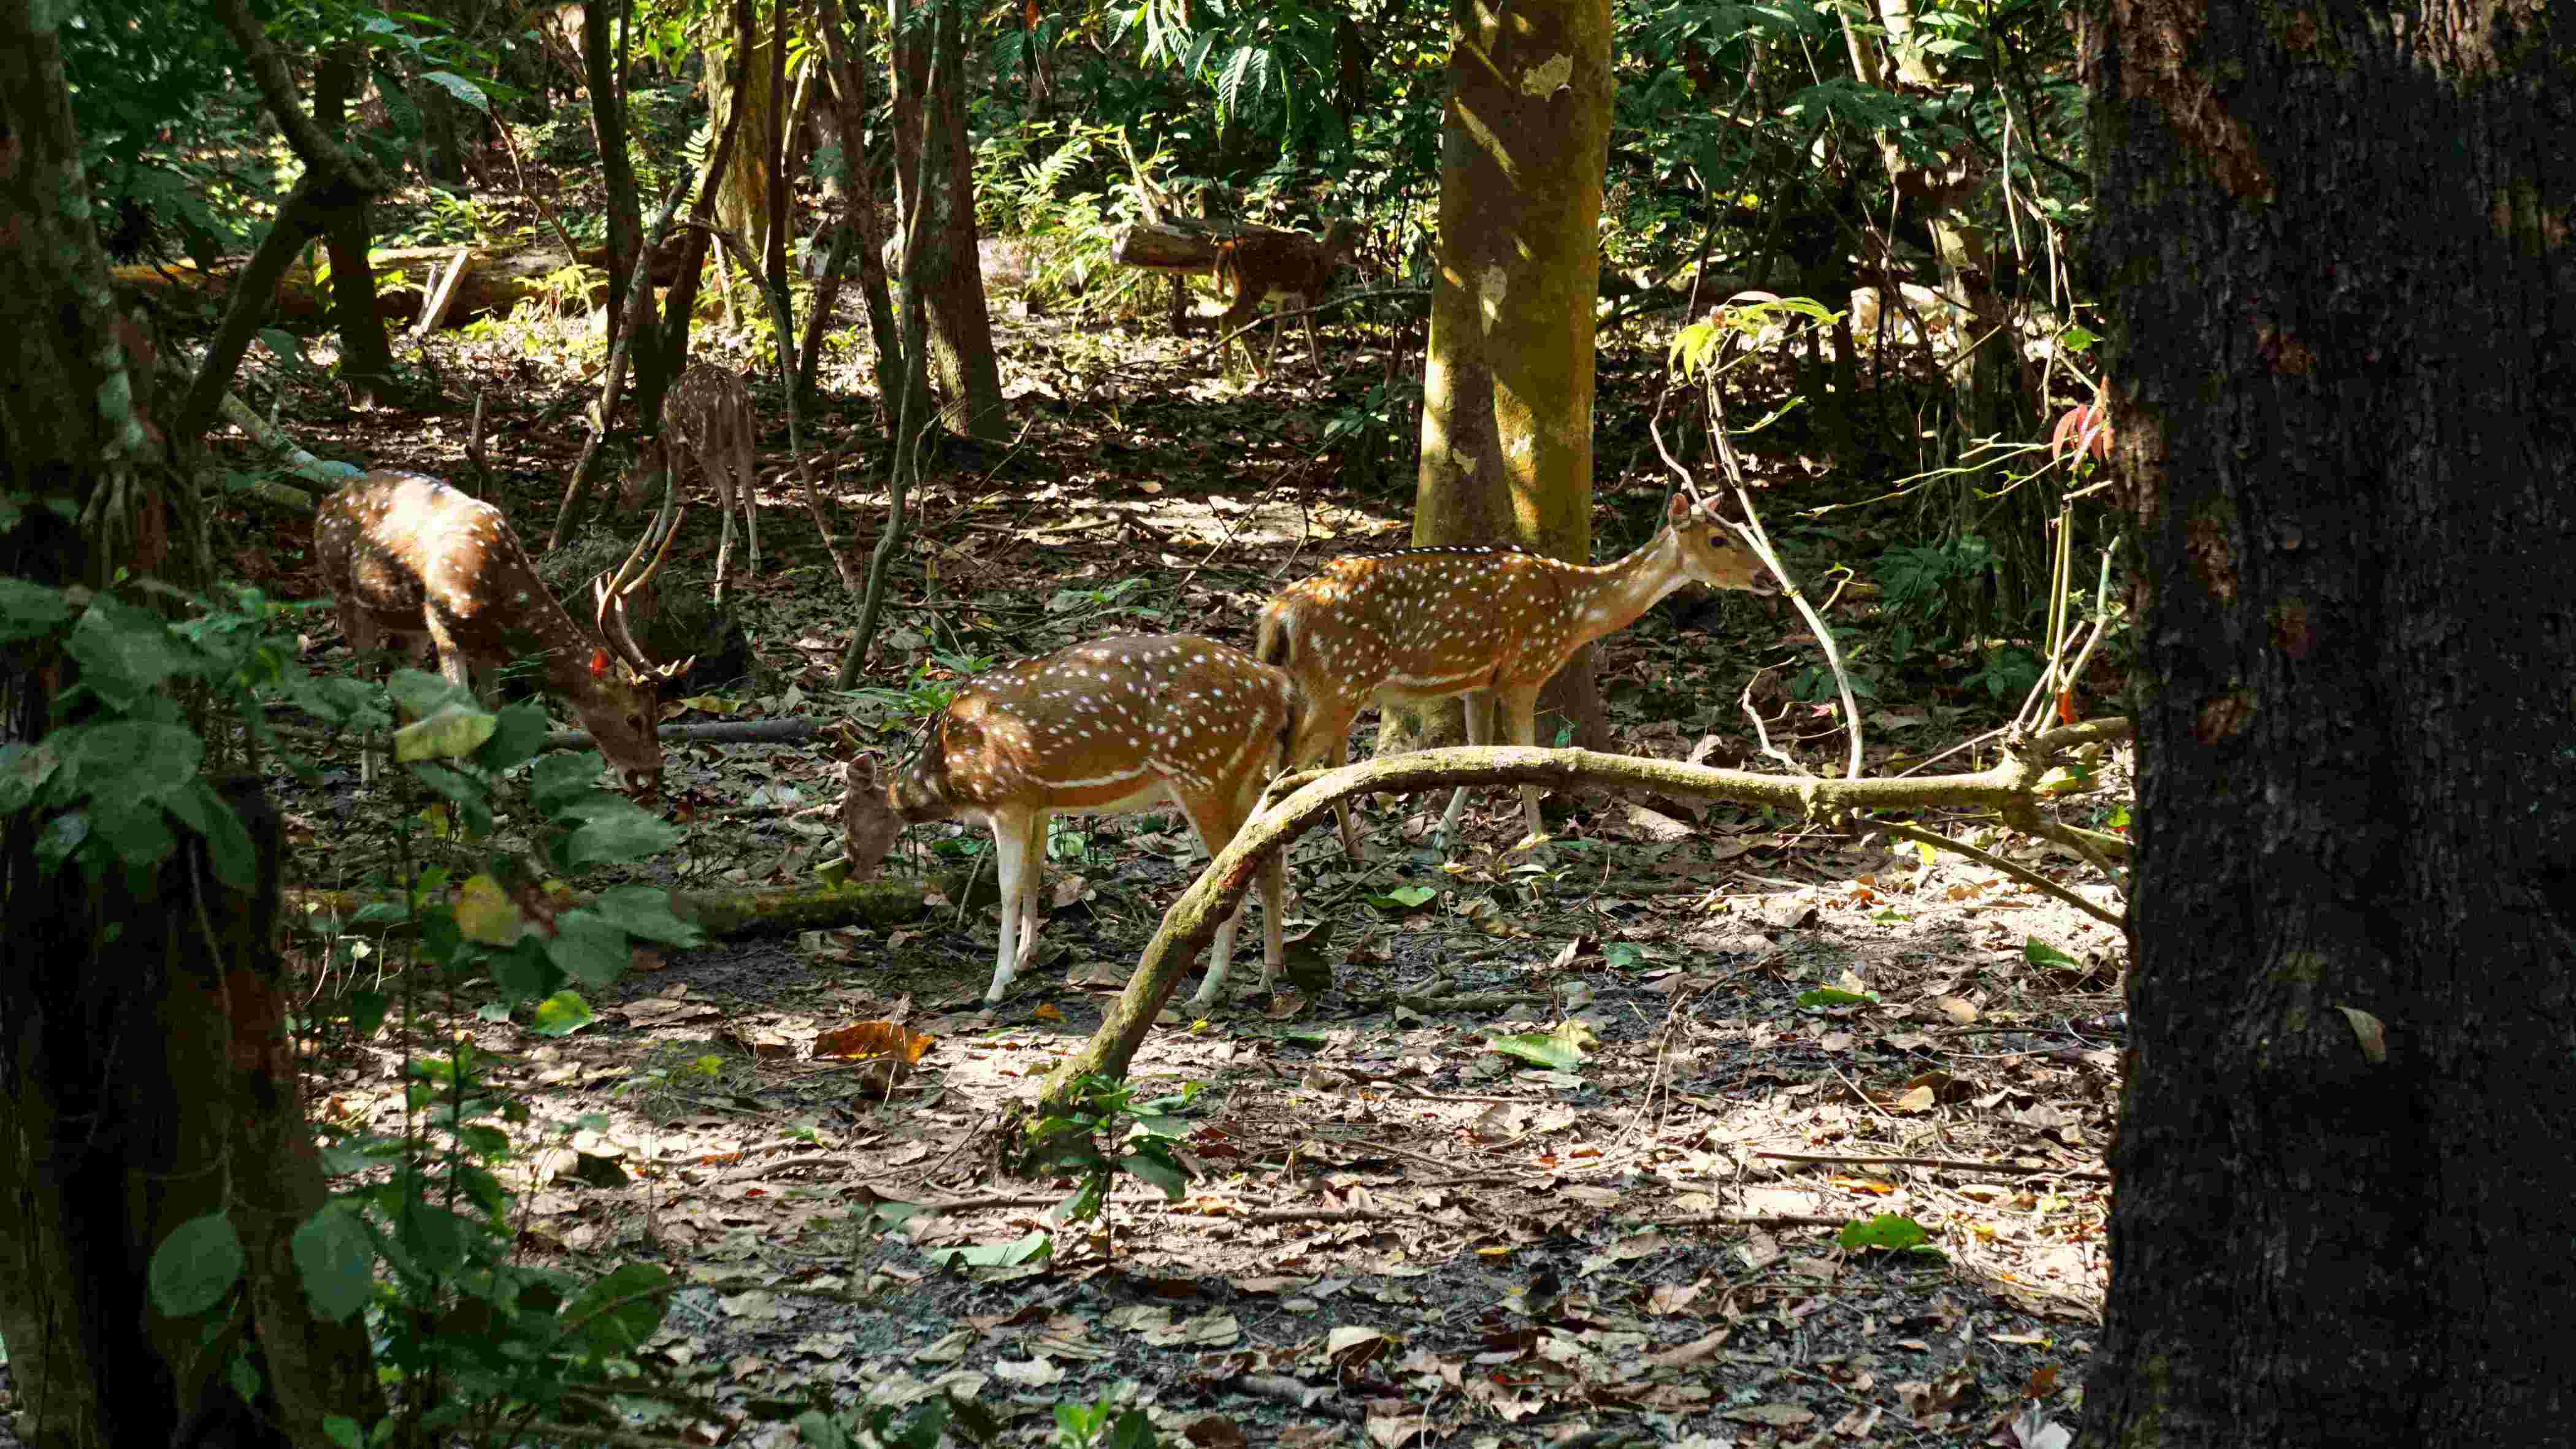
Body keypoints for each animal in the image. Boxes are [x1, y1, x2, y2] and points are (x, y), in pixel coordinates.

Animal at [313, 471, 696, 798]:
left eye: (658, 712)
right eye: (633, 718)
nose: (653, 775)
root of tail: (324, 505)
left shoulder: (489, 651)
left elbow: (492, 712)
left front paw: (497, 785)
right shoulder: (444, 628)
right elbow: (460, 709)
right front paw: (465, 785)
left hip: (408, 622)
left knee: (393, 671)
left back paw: (410, 766)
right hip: (345, 594)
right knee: (364, 673)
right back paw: (370, 774)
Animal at [659, 368, 757, 612]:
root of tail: (726, 392)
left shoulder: (672, 439)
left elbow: (671, 484)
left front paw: (658, 538)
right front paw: (736, 534)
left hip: (702, 442)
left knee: (729, 488)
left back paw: (719, 586)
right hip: (744, 437)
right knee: (747, 489)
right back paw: (754, 561)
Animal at [1210, 220, 1370, 381]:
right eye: (1354, 239)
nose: (1357, 260)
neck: (1323, 258)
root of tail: (1228, 247)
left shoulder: (1285, 297)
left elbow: (1280, 325)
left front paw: (1269, 368)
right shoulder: (1310, 289)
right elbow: (1310, 325)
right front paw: (1321, 369)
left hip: (1239, 285)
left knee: (1232, 318)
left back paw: (1254, 370)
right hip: (1253, 286)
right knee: (1230, 318)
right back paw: (1234, 371)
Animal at [1262, 497, 1782, 859]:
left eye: (1737, 528)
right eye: (1718, 540)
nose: (1768, 578)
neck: (1574, 611)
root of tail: (1278, 613)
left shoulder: (1480, 679)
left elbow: (1478, 751)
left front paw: (1443, 835)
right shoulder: (1526, 669)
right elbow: (1525, 756)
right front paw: (1538, 841)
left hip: (1330, 686)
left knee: (1315, 764)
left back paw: (1350, 849)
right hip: (1339, 678)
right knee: (1288, 768)